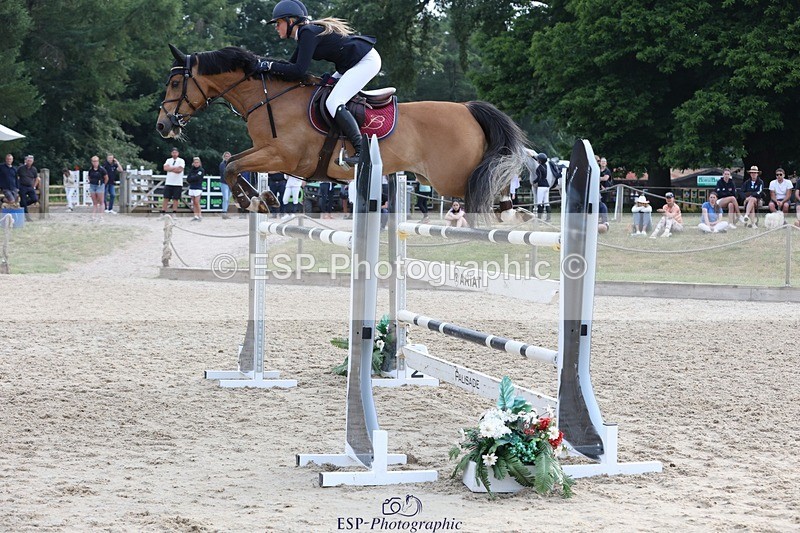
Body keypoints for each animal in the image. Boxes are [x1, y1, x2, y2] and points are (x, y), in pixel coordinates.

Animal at [156, 45, 529, 216]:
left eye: (174, 83)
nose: (163, 125)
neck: (268, 97)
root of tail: (467, 109)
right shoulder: (266, 151)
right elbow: (230, 164)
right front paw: (263, 199)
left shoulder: (283, 156)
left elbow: (233, 166)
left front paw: (253, 201)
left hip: (449, 177)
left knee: (490, 180)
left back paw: (513, 212)